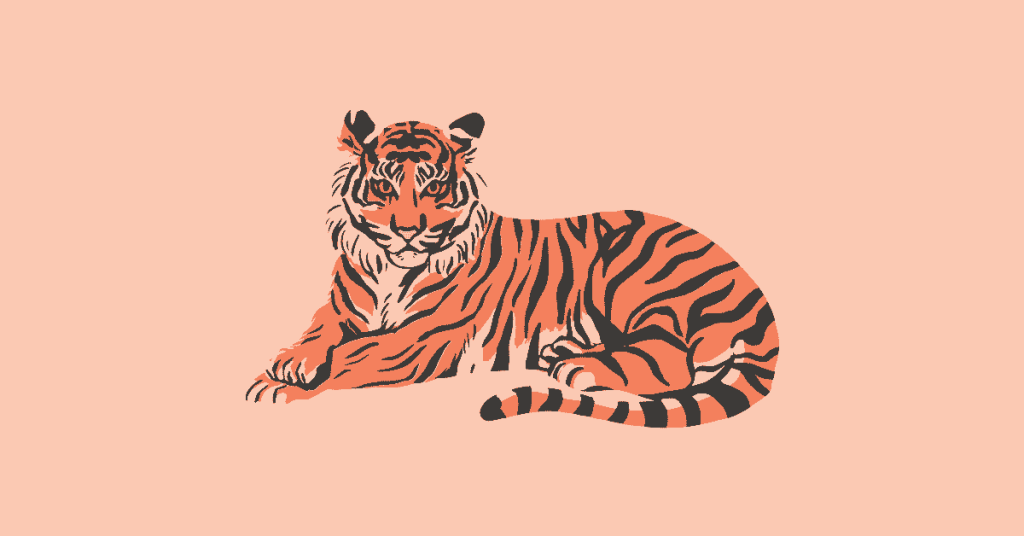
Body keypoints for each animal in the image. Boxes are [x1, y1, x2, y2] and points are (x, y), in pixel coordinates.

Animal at [245, 110, 780, 428]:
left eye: (434, 188)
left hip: (628, 270)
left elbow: (349, 359)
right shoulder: (341, 308)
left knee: (672, 361)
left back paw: (577, 366)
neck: (389, 273)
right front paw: (289, 361)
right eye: (383, 186)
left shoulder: (419, 340)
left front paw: (280, 389)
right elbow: (320, 333)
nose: (409, 232)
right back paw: (565, 351)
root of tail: (755, 294)